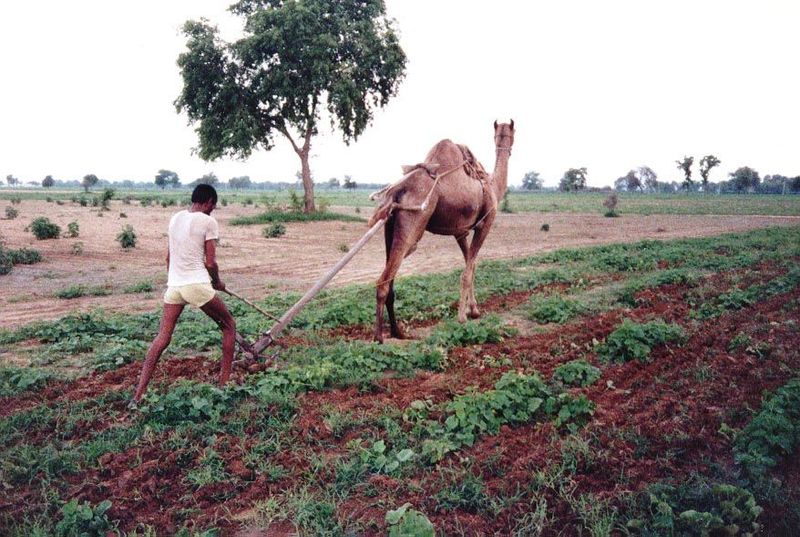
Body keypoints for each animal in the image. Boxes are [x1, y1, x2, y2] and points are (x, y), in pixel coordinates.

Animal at [370, 120, 515, 343]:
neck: (492, 185)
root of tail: (397, 190)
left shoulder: (460, 231)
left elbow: (470, 265)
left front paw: (474, 310)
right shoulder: (485, 223)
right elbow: (468, 270)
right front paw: (463, 317)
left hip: (389, 226)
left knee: (390, 279)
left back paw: (398, 331)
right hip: (413, 225)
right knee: (383, 281)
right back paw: (379, 337)